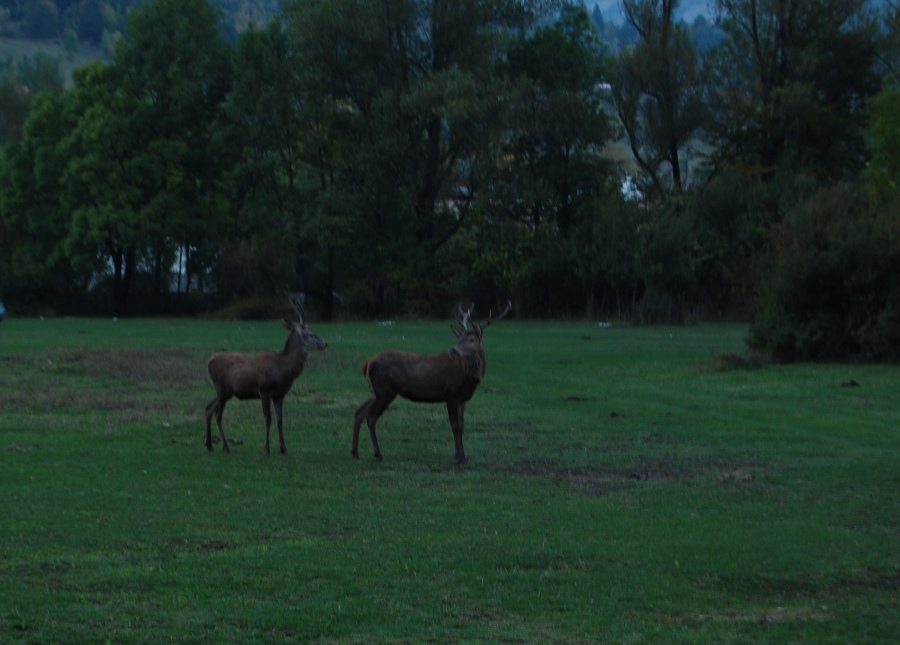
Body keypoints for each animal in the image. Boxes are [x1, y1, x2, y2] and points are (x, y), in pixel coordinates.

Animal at [204, 300, 326, 456]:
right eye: (310, 334)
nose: (325, 344)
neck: (282, 369)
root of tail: (209, 361)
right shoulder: (264, 389)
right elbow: (268, 419)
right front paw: (266, 450)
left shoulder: (280, 394)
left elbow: (279, 420)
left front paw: (283, 449)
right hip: (221, 388)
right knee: (218, 415)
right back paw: (225, 447)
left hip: (226, 392)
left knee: (209, 408)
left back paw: (209, 445)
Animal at [352, 300, 510, 462]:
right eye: (459, 338)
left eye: (471, 339)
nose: (452, 350)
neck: (469, 377)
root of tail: (367, 362)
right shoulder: (451, 394)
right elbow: (455, 426)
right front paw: (460, 457)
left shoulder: (462, 399)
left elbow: (462, 426)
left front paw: (461, 455)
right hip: (385, 390)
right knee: (371, 417)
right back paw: (378, 454)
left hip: (374, 391)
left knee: (359, 413)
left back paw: (355, 452)